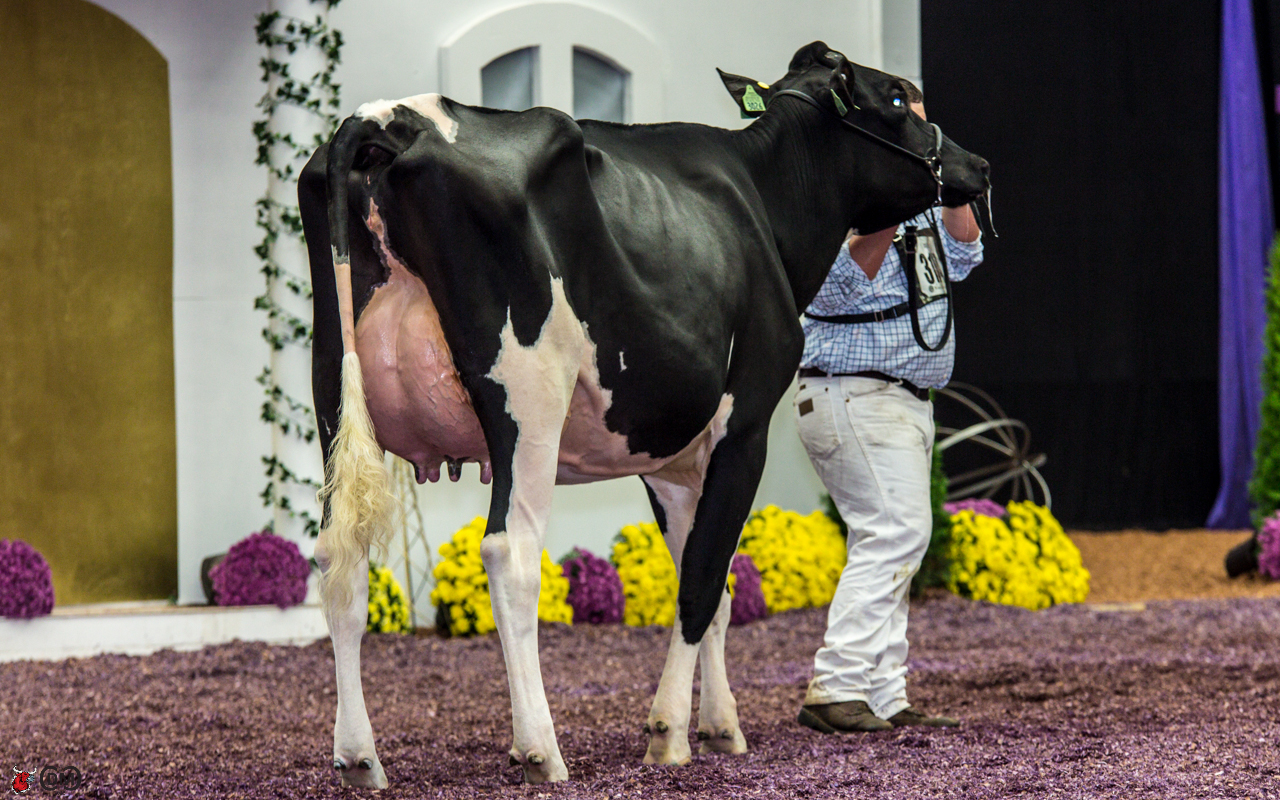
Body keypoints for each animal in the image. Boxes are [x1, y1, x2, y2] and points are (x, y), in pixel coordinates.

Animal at [298, 41, 989, 788]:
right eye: (895, 99)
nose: (978, 167)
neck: (764, 205)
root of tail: (385, 119)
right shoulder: (745, 425)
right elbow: (703, 583)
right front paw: (669, 732)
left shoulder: (673, 462)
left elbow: (710, 583)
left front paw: (720, 724)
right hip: (527, 395)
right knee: (510, 552)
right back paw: (539, 748)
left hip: (332, 387)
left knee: (341, 558)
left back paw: (358, 756)